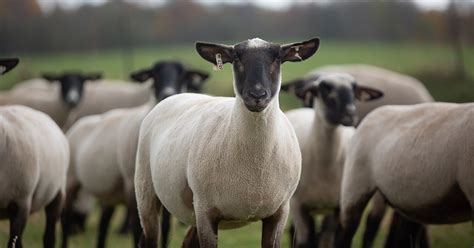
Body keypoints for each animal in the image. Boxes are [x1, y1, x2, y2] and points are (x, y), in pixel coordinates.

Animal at [63, 60, 209, 248]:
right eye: (154, 75)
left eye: (183, 75)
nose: (167, 93)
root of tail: (77, 124)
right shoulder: (132, 187)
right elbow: (137, 228)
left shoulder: (165, 188)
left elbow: (165, 227)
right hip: (71, 180)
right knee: (65, 218)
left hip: (111, 190)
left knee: (104, 222)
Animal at [133, 37, 318, 248]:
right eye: (236, 58)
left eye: (278, 58)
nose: (257, 96)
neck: (256, 165)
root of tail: (175, 96)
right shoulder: (206, 212)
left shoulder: (279, 213)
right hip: (146, 191)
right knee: (149, 237)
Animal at [284, 71, 384, 246]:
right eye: (324, 88)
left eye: (354, 89)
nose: (350, 113)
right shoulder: (299, 206)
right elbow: (306, 241)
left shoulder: (338, 206)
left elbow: (329, 239)